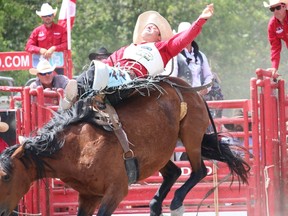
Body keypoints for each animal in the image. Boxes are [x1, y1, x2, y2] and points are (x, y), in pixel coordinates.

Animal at [0, 77, 249, 215]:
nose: (2, 211)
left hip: (190, 136)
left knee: (199, 170)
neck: (77, 148)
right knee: (174, 172)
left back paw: (176, 203)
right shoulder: (88, 196)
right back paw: (155, 204)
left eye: (5, 176)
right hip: (158, 154)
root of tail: (186, 87)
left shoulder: (116, 190)